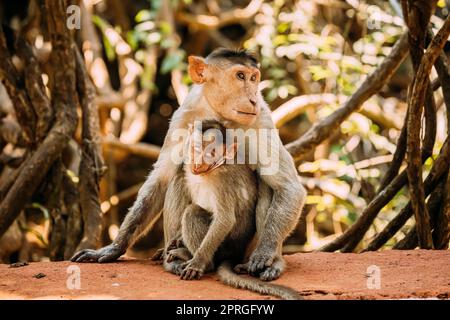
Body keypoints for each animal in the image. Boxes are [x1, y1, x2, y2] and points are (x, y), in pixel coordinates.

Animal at [163, 120, 300, 300]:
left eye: (212, 152)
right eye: (196, 149)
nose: (198, 163)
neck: (210, 171)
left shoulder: (222, 180)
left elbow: (225, 219)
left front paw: (198, 262)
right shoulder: (188, 167)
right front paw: (178, 239)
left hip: (228, 247)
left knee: (193, 213)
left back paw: (202, 261)